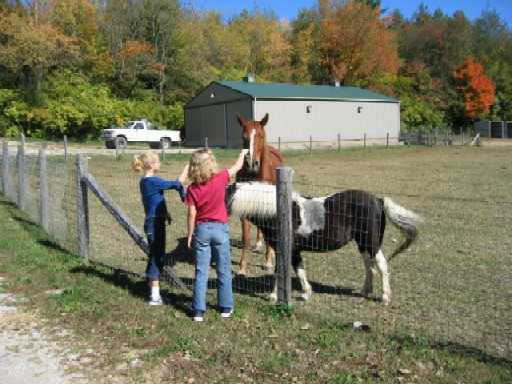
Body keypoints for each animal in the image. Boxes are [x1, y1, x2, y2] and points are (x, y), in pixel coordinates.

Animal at [226, 183, 422, 306]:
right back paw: (365, 291)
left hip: (370, 242)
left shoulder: (284, 249)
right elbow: (299, 270)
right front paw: (306, 293)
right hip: (362, 243)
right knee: (369, 265)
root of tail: (378, 201)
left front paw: (273, 296)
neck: (276, 212)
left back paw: (385, 297)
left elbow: (279, 271)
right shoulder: (294, 251)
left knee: (381, 265)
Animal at [235, 113, 282, 276]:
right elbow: (246, 238)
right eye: (244, 137)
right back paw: (258, 245)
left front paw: (268, 263)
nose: (251, 163)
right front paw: (242, 269)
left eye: (261, 136)